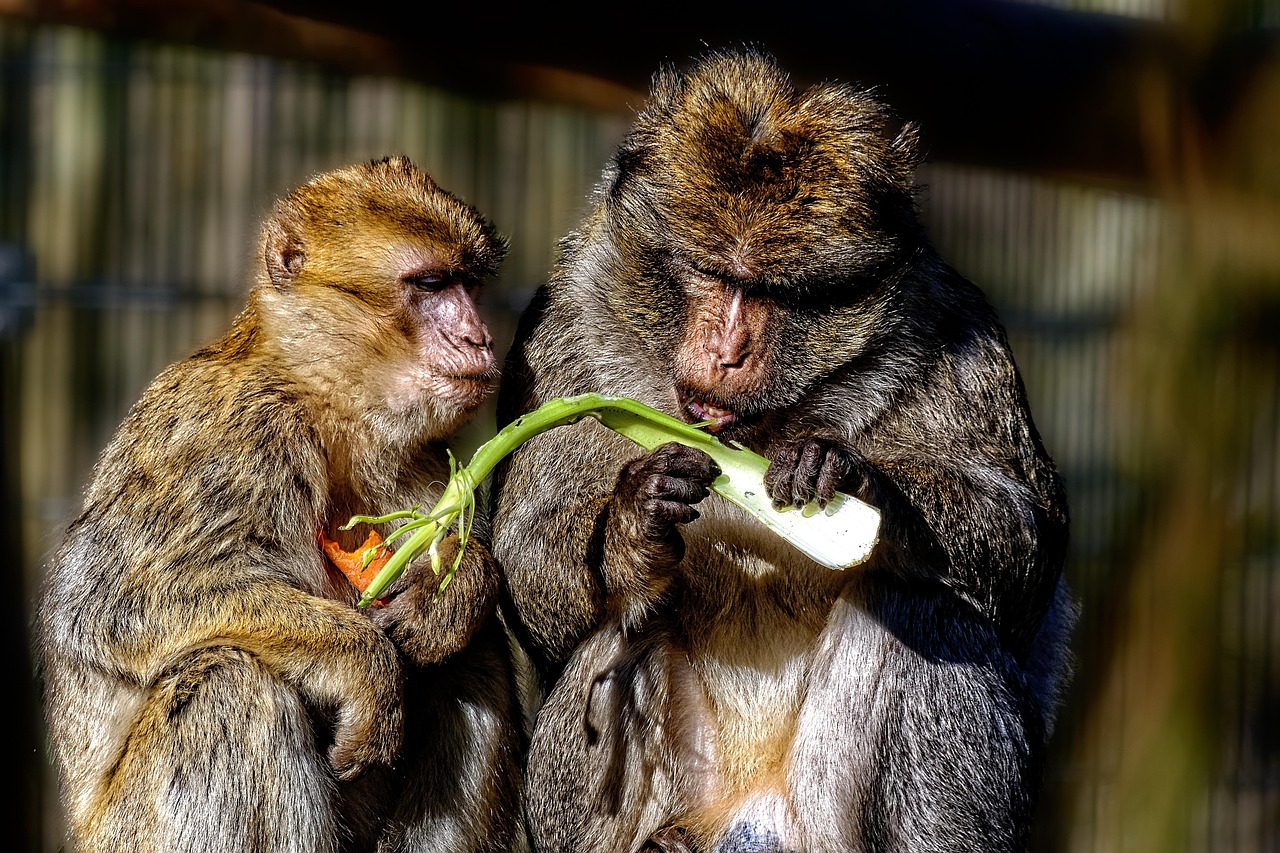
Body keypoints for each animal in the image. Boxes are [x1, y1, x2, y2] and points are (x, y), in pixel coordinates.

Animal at [36, 156, 526, 853]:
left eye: (472, 286)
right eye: (431, 284)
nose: (479, 337)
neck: (323, 400)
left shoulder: (423, 463)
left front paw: (453, 590)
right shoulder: (240, 434)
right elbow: (109, 604)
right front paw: (365, 663)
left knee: (470, 660)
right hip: (130, 834)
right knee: (230, 686)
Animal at [490, 51, 1073, 853]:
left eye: (774, 292)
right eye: (711, 275)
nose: (728, 350)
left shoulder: (961, 336)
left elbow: (1027, 548)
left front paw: (853, 476)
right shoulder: (563, 333)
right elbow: (524, 557)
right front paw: (635, 521)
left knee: (920, 608)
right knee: (620, 629)